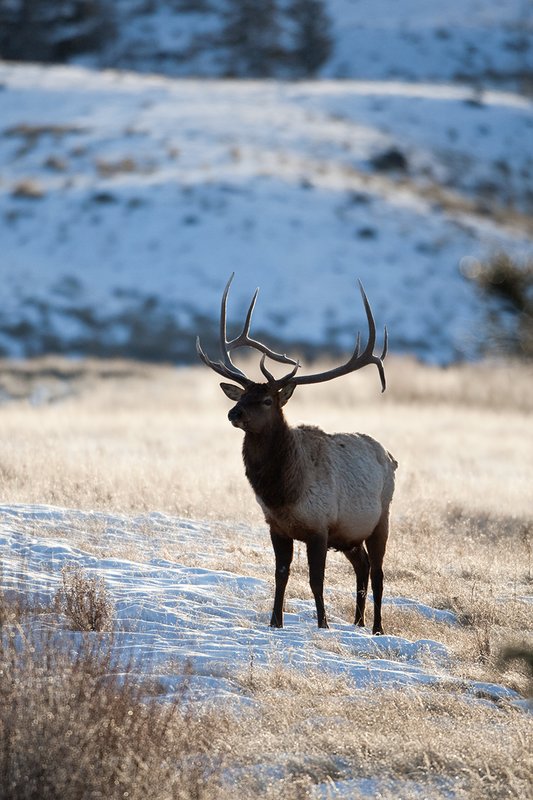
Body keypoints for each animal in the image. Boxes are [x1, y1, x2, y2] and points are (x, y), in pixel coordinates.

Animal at [196, 274, 397, 634]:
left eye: (267, 401)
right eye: (242, 394)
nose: (233, 413)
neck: (282, 493)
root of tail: (390, 456)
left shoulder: (319, 527)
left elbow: (316, 580)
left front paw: (323, 625)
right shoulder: (277, 527)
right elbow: (281, 575)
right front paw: (275, 622)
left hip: (381, 519)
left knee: (377, 573)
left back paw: (376, 628)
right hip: (350, 535)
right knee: (361, 567)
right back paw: (357, 622)